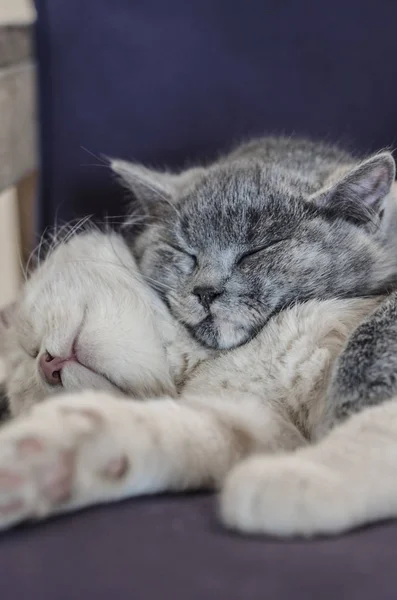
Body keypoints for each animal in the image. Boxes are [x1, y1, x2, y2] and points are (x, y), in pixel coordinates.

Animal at [0, 227, 392, 536]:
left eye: (29, 342)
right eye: (35, 363)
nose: (46, 364)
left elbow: (373, 424)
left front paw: (306, 476)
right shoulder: (256, 423)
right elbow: (166, 433)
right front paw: (39, 466)